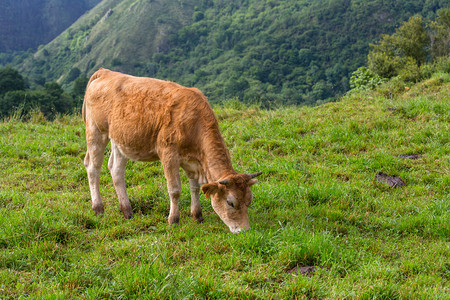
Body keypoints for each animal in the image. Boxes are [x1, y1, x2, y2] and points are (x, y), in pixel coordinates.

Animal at [82, 68, 262, 232]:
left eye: (249, 200)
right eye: (230, 202)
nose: (245, 230)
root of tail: (105, 72)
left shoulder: (192, 162)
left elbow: (195, 187)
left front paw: (197, 216)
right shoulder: (168, 153)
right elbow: (174, 190)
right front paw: (173, 220)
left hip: (120, 140)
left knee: (116, 169)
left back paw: (127, 211)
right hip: (96, 131)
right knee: (93, 167)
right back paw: (98, 208)